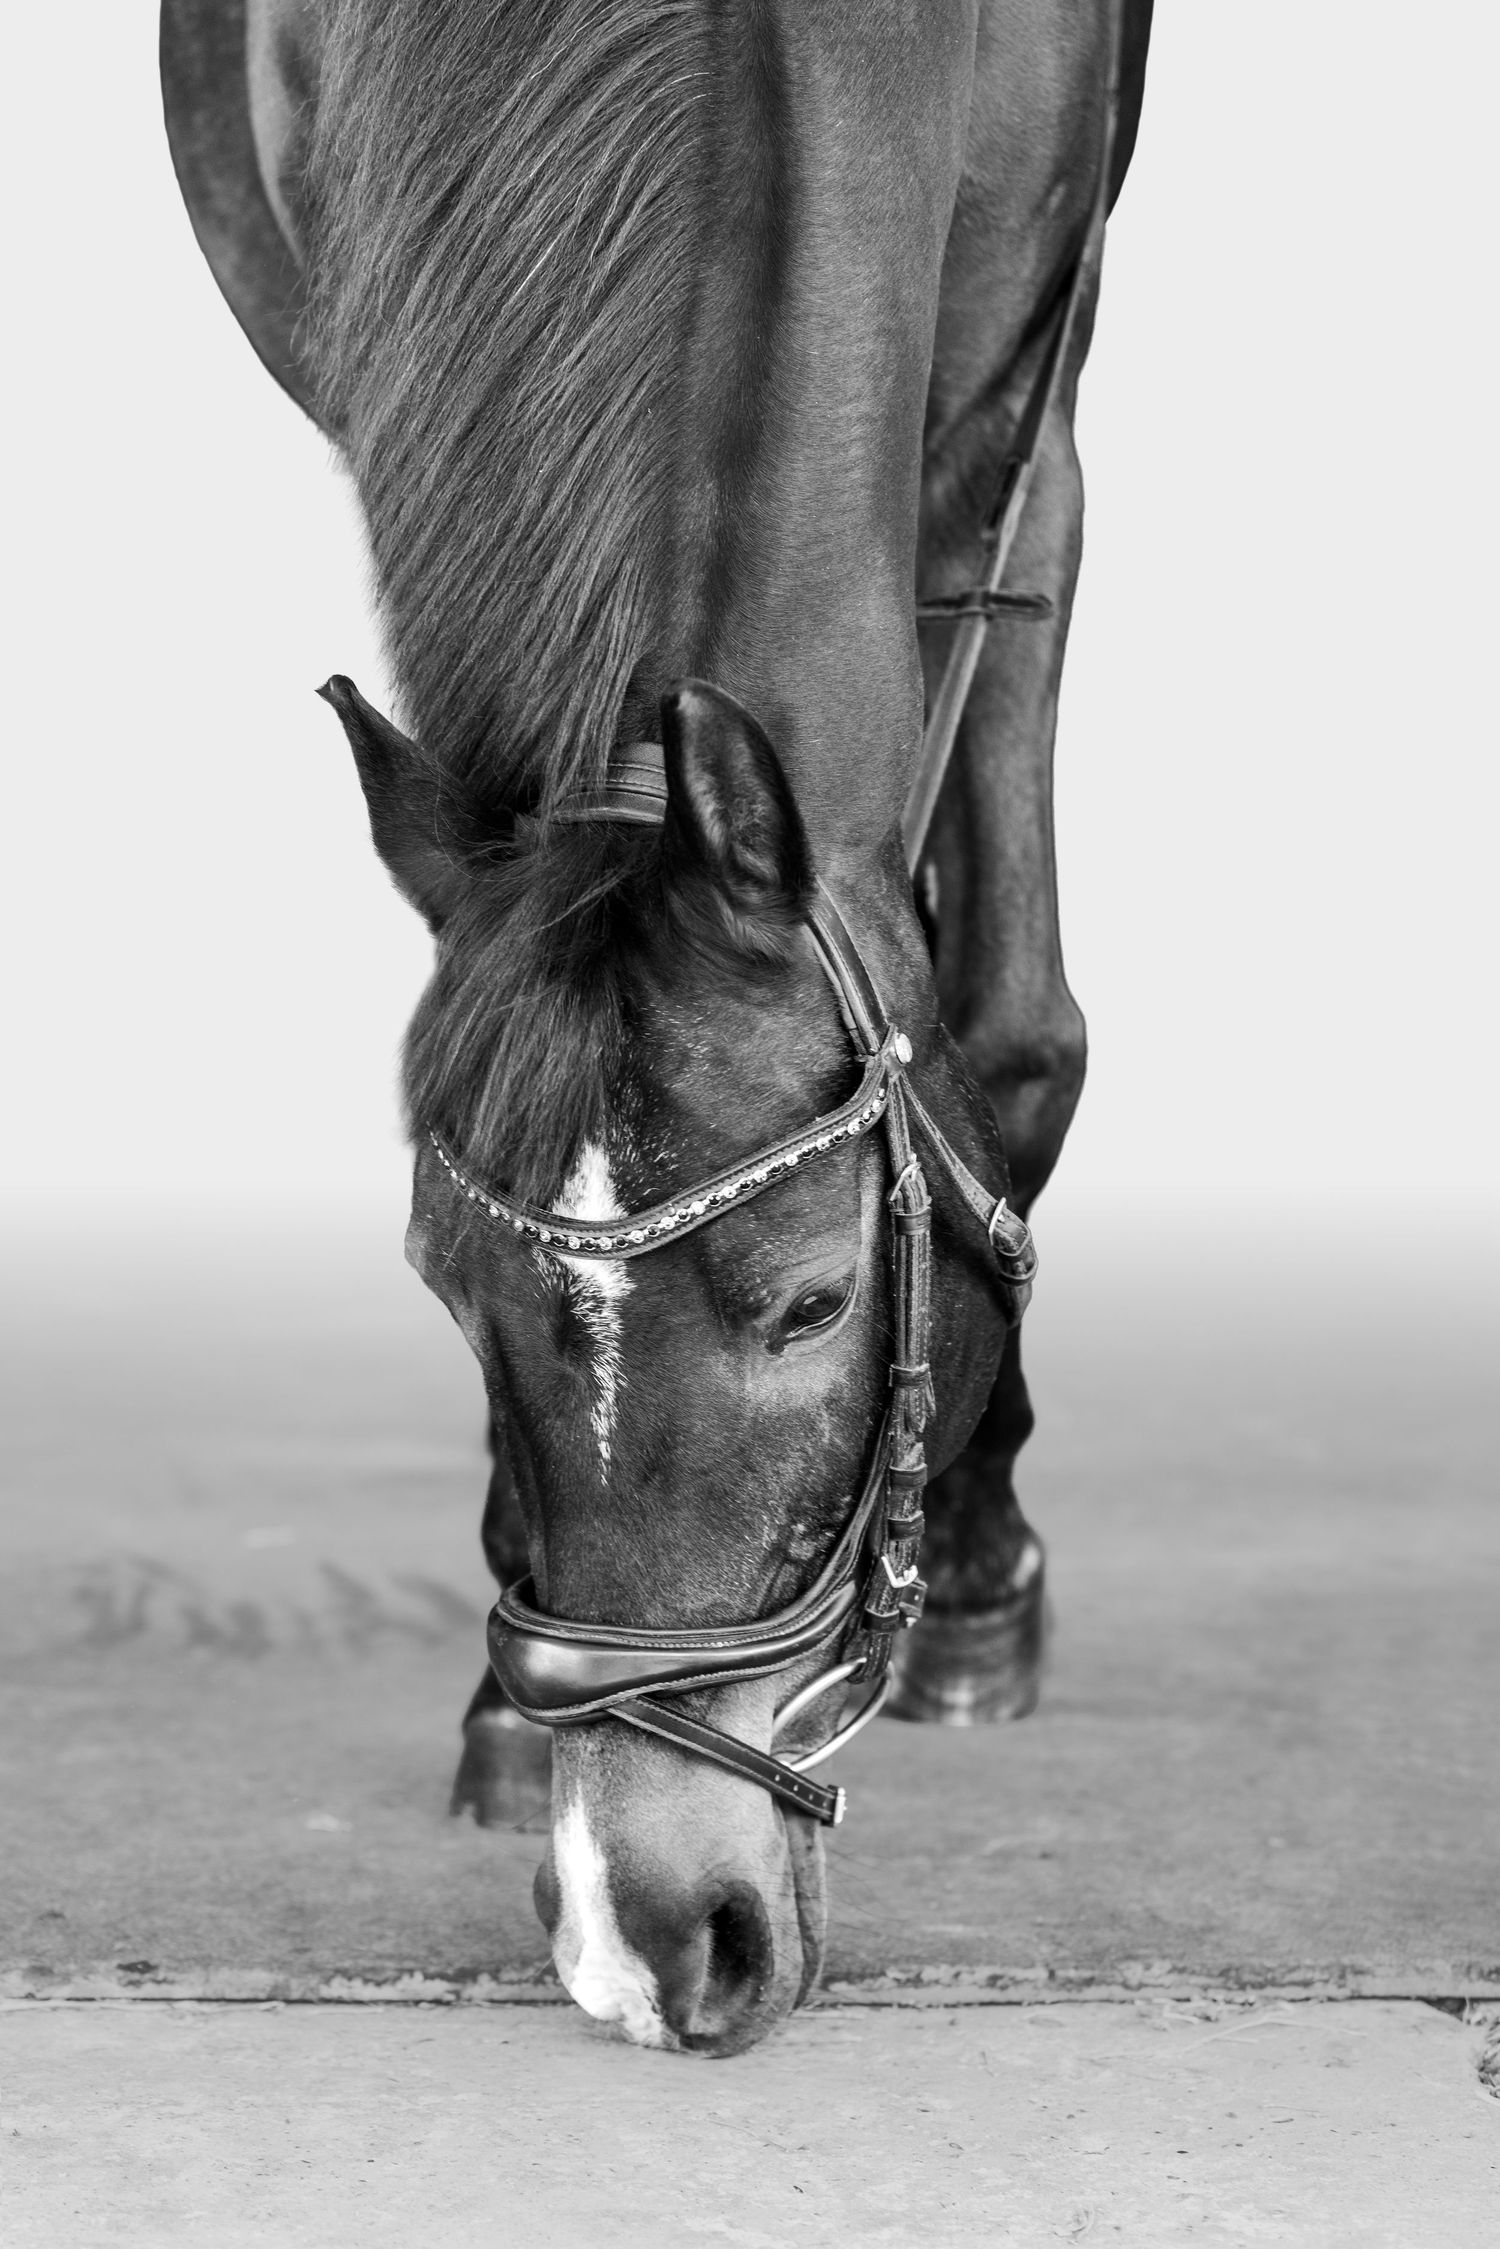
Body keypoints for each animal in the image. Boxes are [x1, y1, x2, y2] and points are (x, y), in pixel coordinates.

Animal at [161, 0, 1152, 2057]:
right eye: (439, 1286)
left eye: (816, 1302)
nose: (655, 1935)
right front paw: (496, 1708)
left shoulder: (1016, 421)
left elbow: (1013, 1040)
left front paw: (973, 1582)